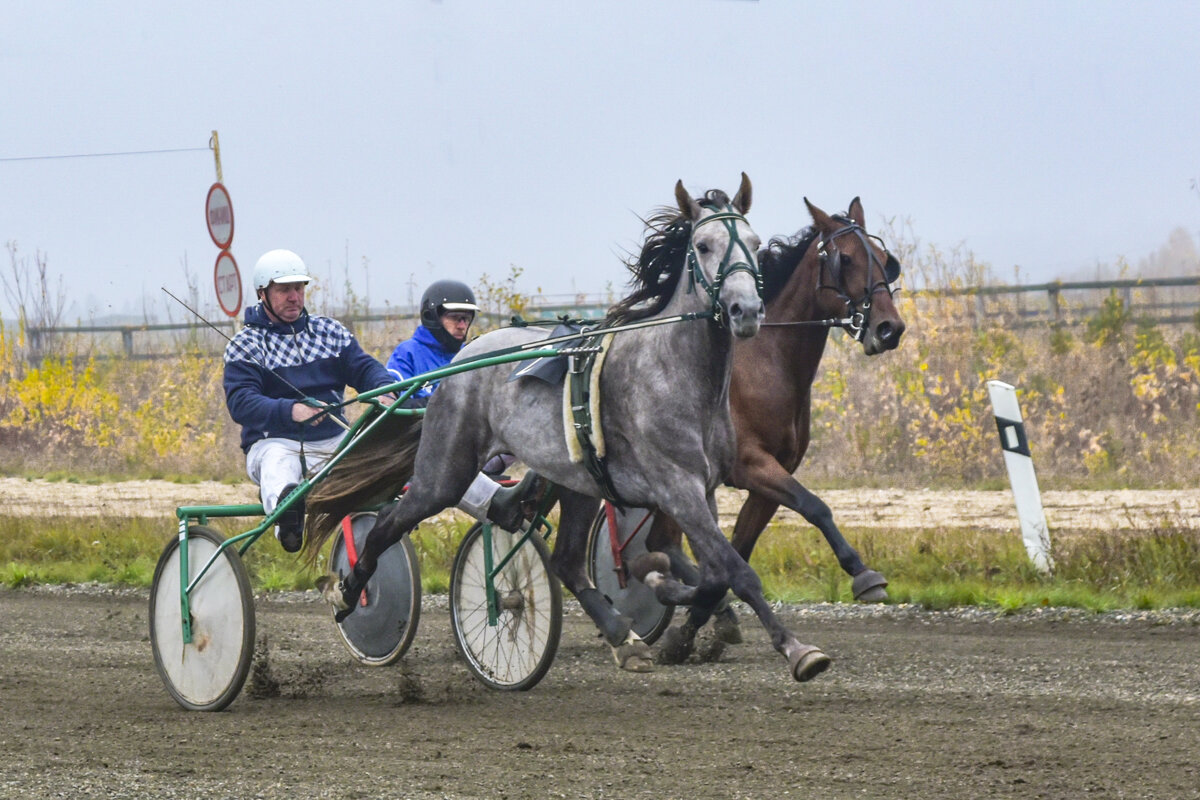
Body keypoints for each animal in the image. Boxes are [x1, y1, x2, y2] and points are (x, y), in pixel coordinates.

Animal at [309, 176, 830, 681]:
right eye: (703, 245)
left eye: (755, 243)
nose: (747, 311)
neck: (676, 371)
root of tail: (460, 359)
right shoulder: (678, 488)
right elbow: (733, 572)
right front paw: (797, 649)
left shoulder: (704, 489)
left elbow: (713, 573)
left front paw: (667, 589)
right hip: (444, 472)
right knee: (386, 527)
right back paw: (349, 590)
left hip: (579, 481)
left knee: (566, 560)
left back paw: (621, 634)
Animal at [638, 196, 902, 662]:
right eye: (846, 259)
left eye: (884, 260)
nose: (889, 328)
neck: (766, 362)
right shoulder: (750, 465)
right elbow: (815, 507)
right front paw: (863, 573)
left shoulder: (772, 474)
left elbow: (738, 550)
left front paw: (694, 629)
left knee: (661, 542)